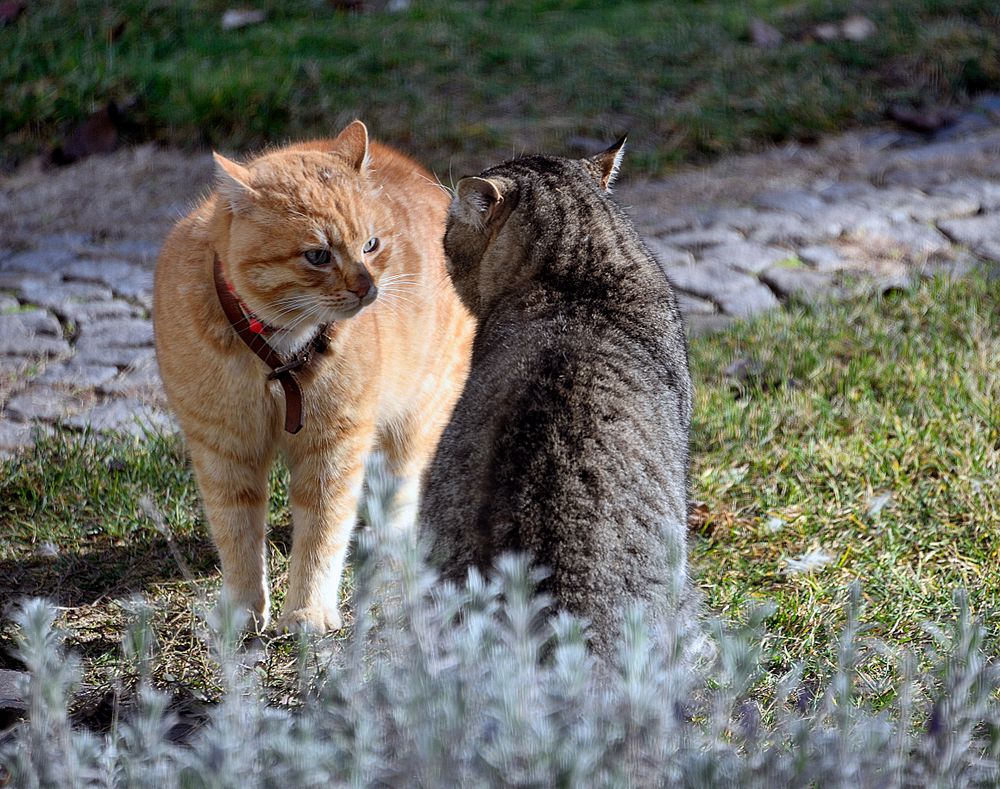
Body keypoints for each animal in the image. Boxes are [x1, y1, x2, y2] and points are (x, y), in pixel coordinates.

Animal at [153, 120, 472, 632]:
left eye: (370, 245)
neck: (278, 352)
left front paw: (307, 611)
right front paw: (242, 610)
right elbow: (236, 533)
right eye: (318, 256)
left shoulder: (335, 447)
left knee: (400, 496)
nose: (368, 288)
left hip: (416, 417)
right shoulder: (223, 448)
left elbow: (323, 531)